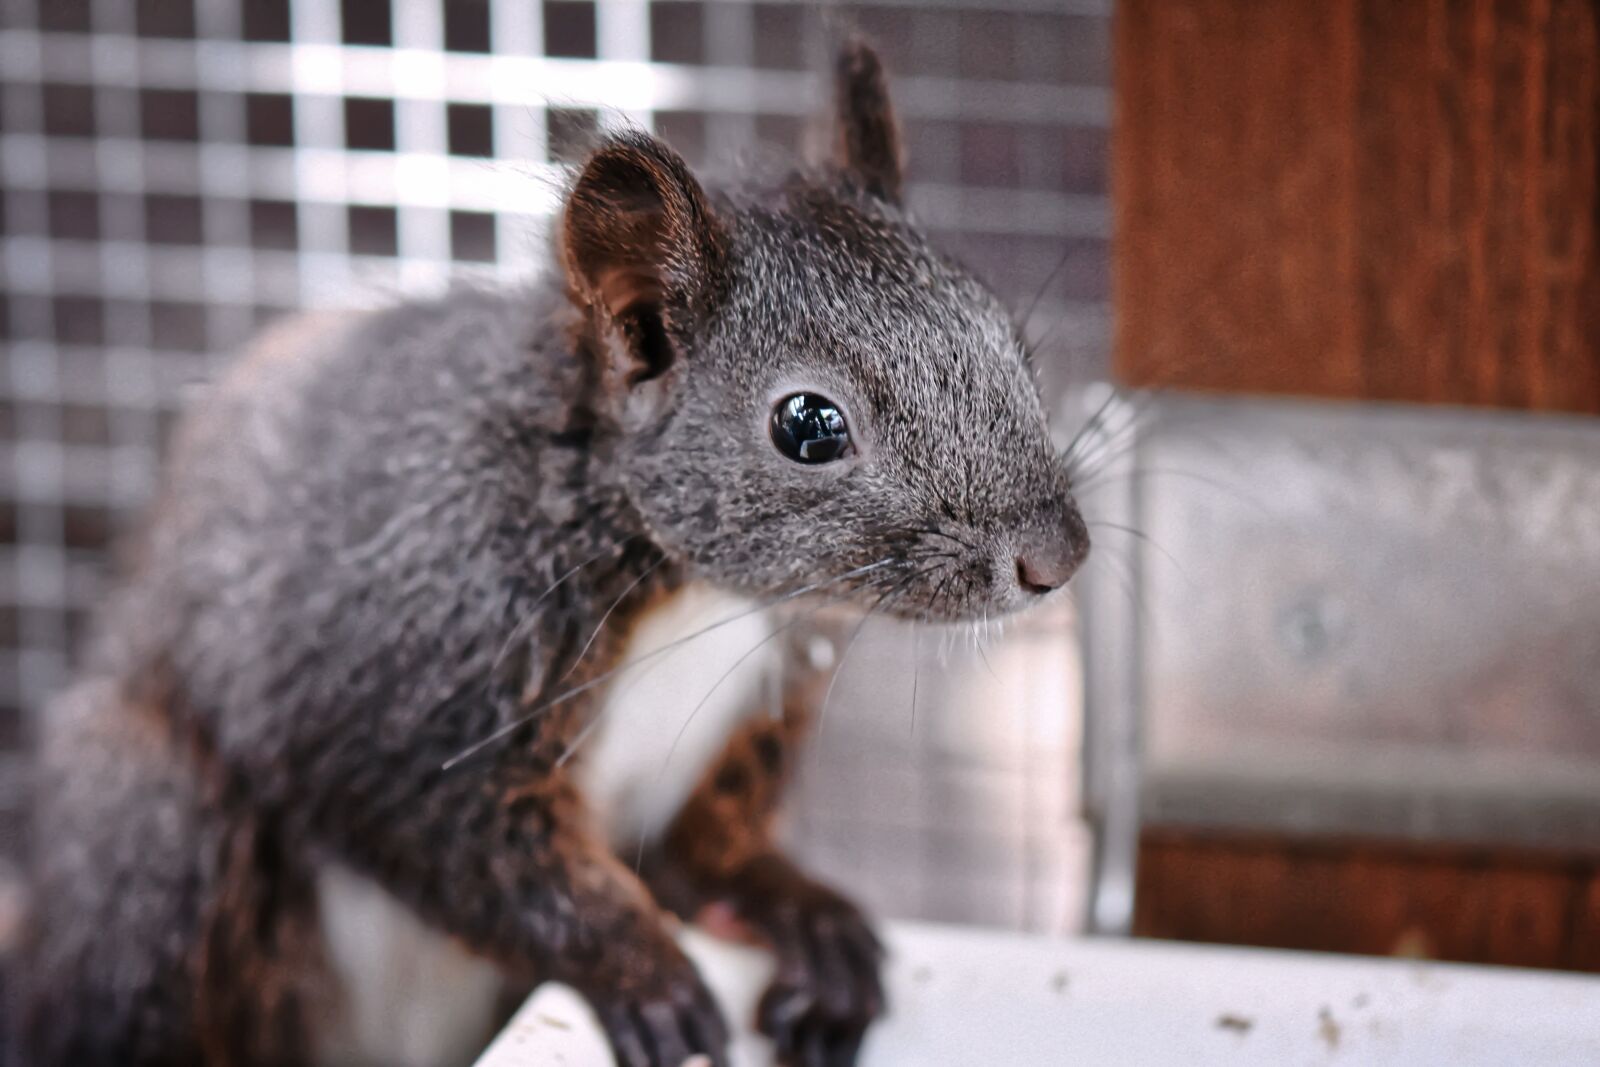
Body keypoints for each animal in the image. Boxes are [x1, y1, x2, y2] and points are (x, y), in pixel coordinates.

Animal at [18, 39, 1089, 1067]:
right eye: (809, 425)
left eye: (1006, 334)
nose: (1058, 558)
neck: (693, 589)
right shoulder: (418, 655)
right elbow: (471, 847)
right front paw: (640, 969)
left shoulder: (758, 695)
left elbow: (706, 845)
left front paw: (792, 908)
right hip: (157, 832)